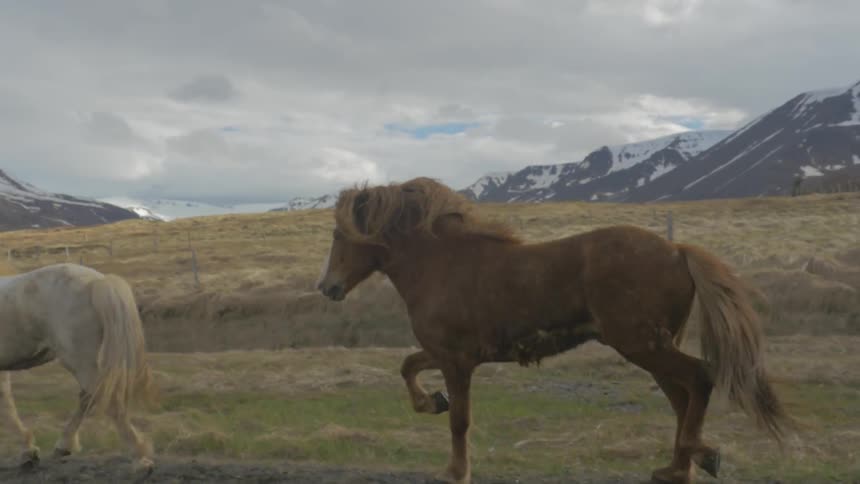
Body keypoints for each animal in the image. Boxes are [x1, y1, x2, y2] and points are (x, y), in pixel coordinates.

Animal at [0, 262, 156, 474]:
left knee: (107, 401)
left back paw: (140, 460)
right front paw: (28, 452)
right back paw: (63, 446)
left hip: (77, 360)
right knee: (88, 397)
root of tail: (97, 281)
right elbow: (7, 406)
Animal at [316, 177, 793, 484]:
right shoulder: (447, 353)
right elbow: (408, 368)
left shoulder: (456, 361)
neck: (442, 264)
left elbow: (459, 421)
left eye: (340, 234)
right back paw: (677, 468)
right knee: (684, 397)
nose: (327, 287)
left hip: (642, 344)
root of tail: (677, 249)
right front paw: (430, 401)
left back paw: (701, 456)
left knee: (700, 378)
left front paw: (456, 471)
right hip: (655, 347)